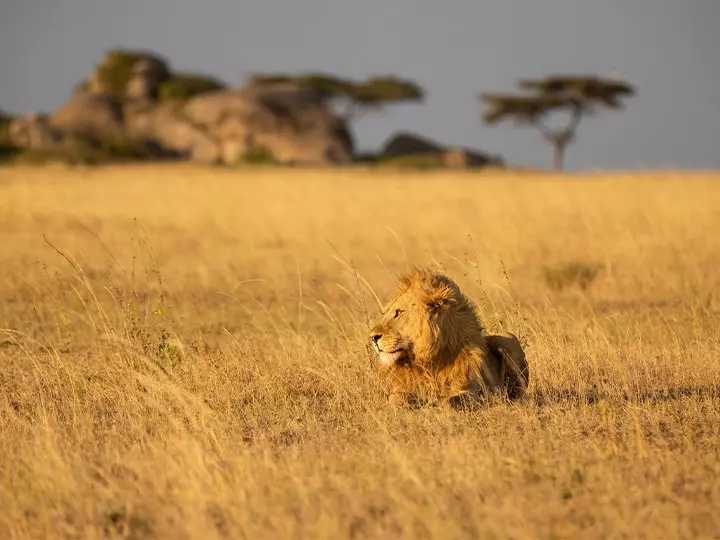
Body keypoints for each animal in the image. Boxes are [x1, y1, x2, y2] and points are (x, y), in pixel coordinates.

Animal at [368, 267, 529, 409]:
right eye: (386, 313)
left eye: (398, 312)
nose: (372, 337)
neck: (429, 361)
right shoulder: (402, 389)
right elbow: (395, 398)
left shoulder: (476, 393)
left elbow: (451, 401)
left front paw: (436, 404)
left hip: (508, 339)